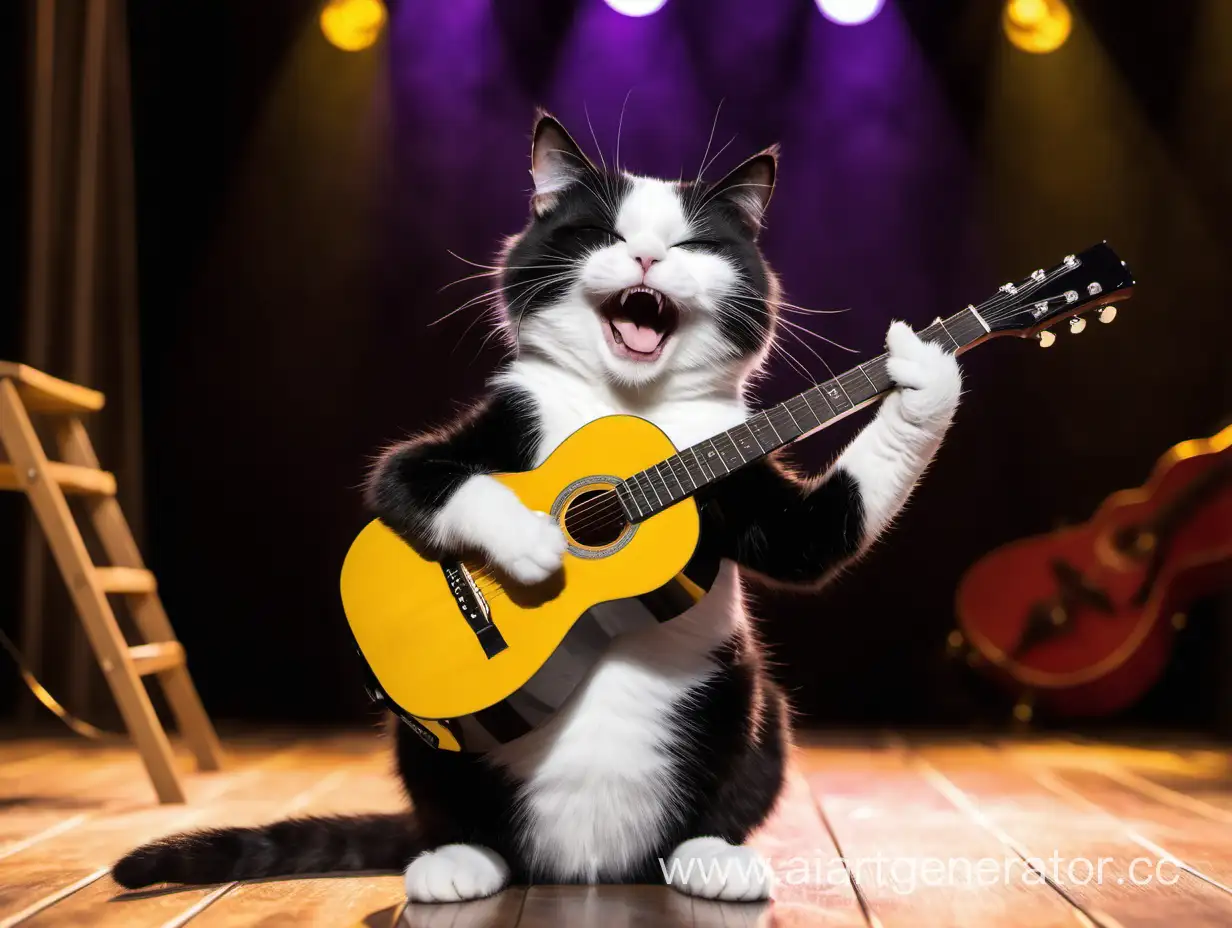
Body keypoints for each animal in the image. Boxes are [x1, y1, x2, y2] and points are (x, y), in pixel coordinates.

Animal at [115, 112, 960, 902]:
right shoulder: (457, 442)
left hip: (754, 702)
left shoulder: (755, 494)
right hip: (420, 734)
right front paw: (531, 546)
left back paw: (710, 858)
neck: (625, 402)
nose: (647, 258)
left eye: (691, 245)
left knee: (719, 794)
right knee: (459, 815)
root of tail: (582, 867)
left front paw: (930, 366)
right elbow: (416, 478)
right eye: (604, 233)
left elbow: (819, 535)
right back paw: (457, 862)